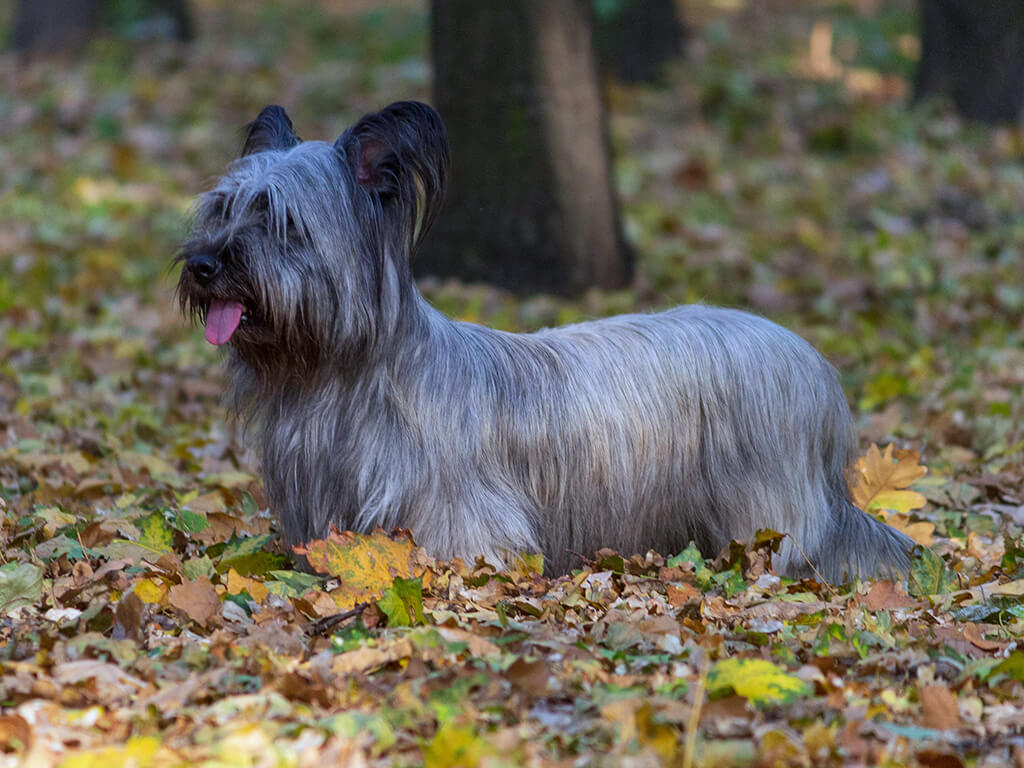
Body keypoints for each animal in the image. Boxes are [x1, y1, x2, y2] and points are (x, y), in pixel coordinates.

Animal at [176, 102, 913, 581]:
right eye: (222, 209)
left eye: (282, 221)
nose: (203, 265)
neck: (341, 373)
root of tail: (815, 366)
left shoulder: (458, 516)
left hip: (763, 501)